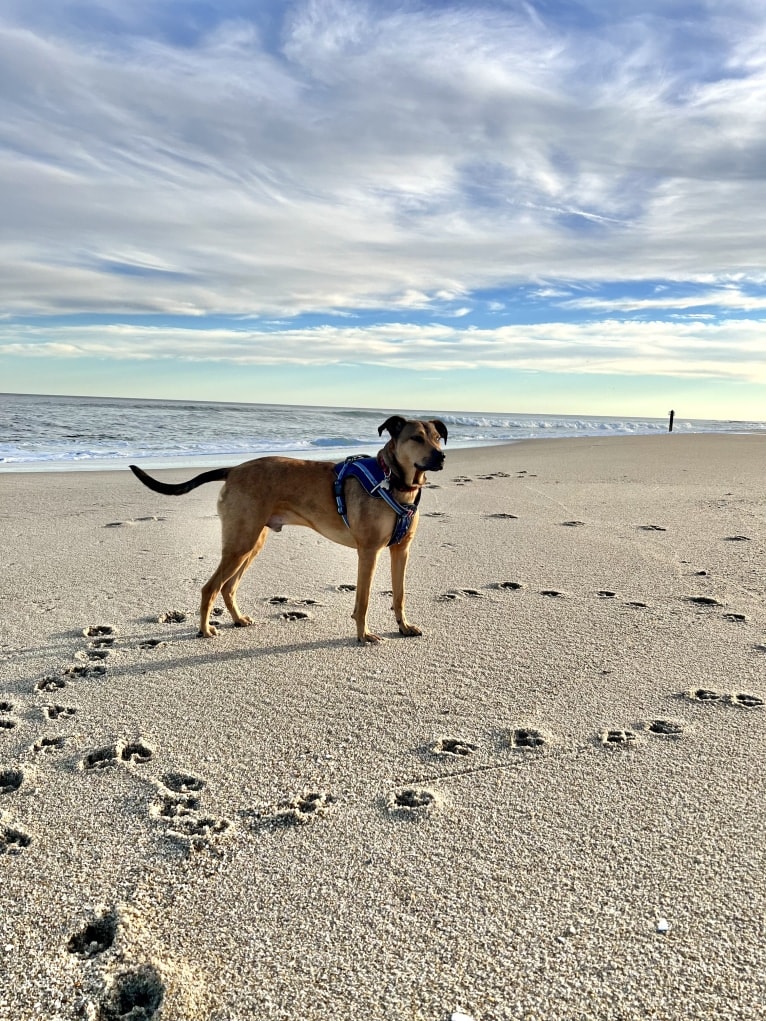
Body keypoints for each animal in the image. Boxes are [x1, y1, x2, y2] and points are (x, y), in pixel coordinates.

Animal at [129, 412, 447, 637]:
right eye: (416, 438)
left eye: (437, 438)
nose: (441, 456)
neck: (394, 481)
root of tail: (234, 469)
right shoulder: (368, 552)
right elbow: (365, 600)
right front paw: (364, 634)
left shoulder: (400, 550)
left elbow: (399, 594)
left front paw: (403, 627)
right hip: (240, 544)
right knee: (210, 588)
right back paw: (205, 630)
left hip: (252, 543)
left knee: (228, 587)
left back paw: (238, 619)